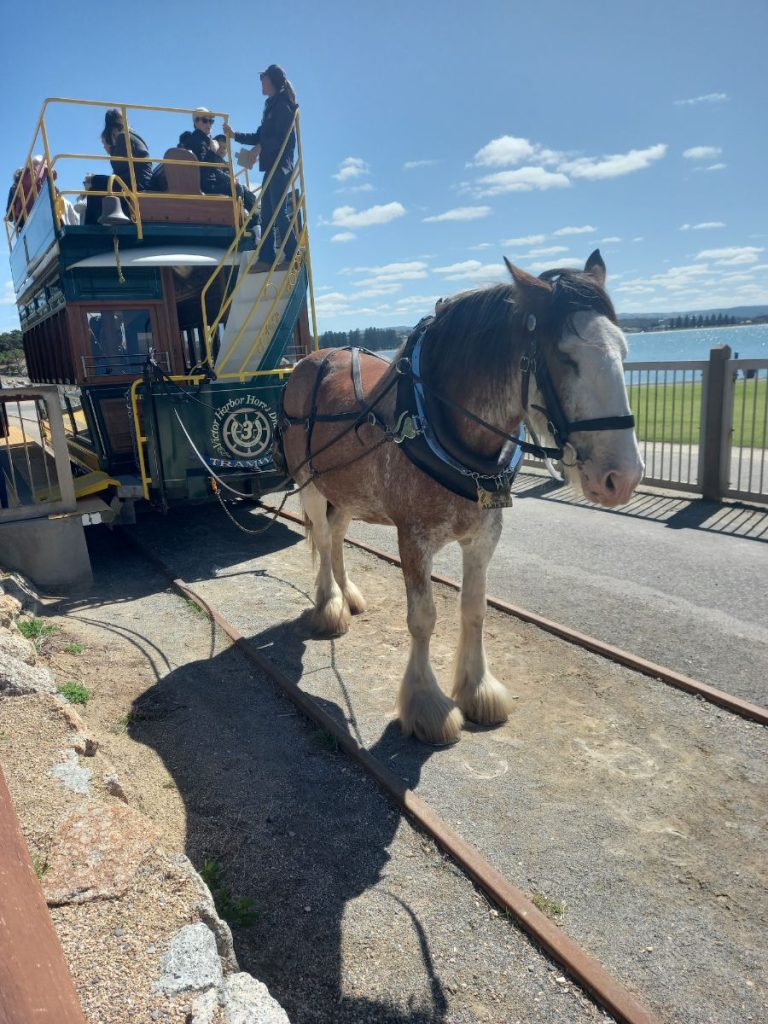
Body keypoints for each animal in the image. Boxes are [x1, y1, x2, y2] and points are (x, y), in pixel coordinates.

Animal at [280, 247, 647, 745]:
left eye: (624, 351)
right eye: (565, 357)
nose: (623, 477)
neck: (436, 416)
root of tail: (310, 360)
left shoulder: (483, 536)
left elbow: (474, 609)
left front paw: (477, 690)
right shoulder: (414, 539)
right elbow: (423, 617)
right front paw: (428, 705)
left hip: (348, 490)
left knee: (335, 536)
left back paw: (347, 593)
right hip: (312, 482)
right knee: (319, 535)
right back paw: (329, 604)